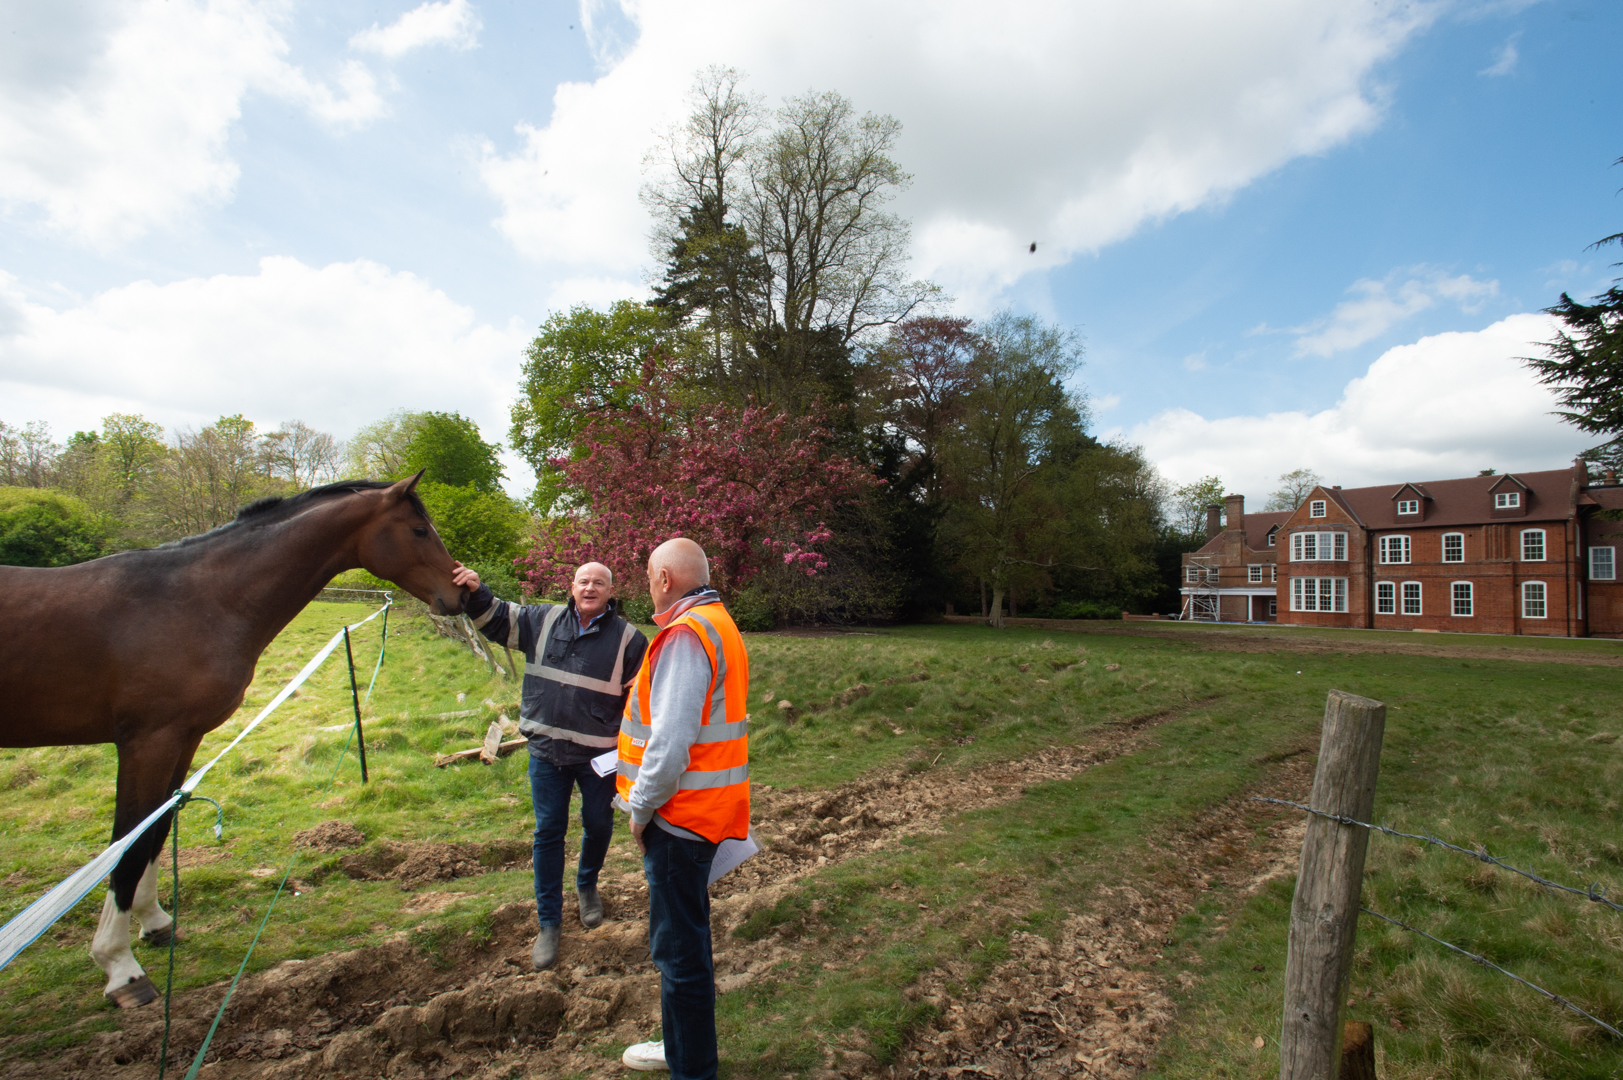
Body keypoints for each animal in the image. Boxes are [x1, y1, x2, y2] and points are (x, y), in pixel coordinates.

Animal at [0, 477, 470, 1006]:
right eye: (418, 530)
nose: (459, 593)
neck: (203, 599)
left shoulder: (182, 737)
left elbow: (156, 832)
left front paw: (155, 924)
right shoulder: (149, 739)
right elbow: (129, 843)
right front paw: (121, 967)